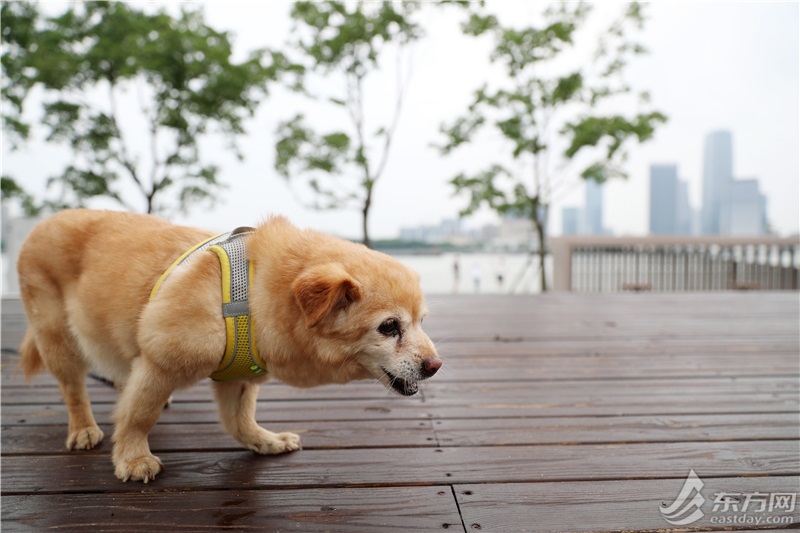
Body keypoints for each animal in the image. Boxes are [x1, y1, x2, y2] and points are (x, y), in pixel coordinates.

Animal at [18, 209, 440, 482]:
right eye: (389, 327)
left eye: (422, 321)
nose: (435, 366)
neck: (254, 292)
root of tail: (40, 224)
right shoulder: (160, 363)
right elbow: (139, 415)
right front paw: (134, 458)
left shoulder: (237, 379)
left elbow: (240, 422)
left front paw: (265, 442)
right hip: (59, 339)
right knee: (74, 388)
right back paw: (83, 428)